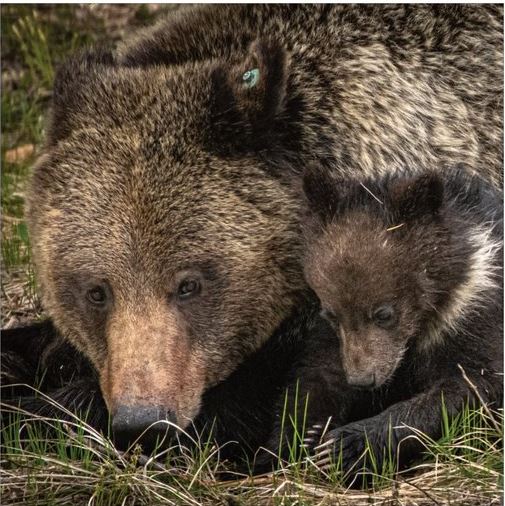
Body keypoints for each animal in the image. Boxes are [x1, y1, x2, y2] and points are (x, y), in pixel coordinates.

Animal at [280, 165, 500, 478]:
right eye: (332, 313)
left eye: (384, 313)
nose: (363, 379)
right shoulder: (334, 339)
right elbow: (316, 378)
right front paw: (305, 439)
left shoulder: (474, 315)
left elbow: (470, 387)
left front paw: (345, 446)